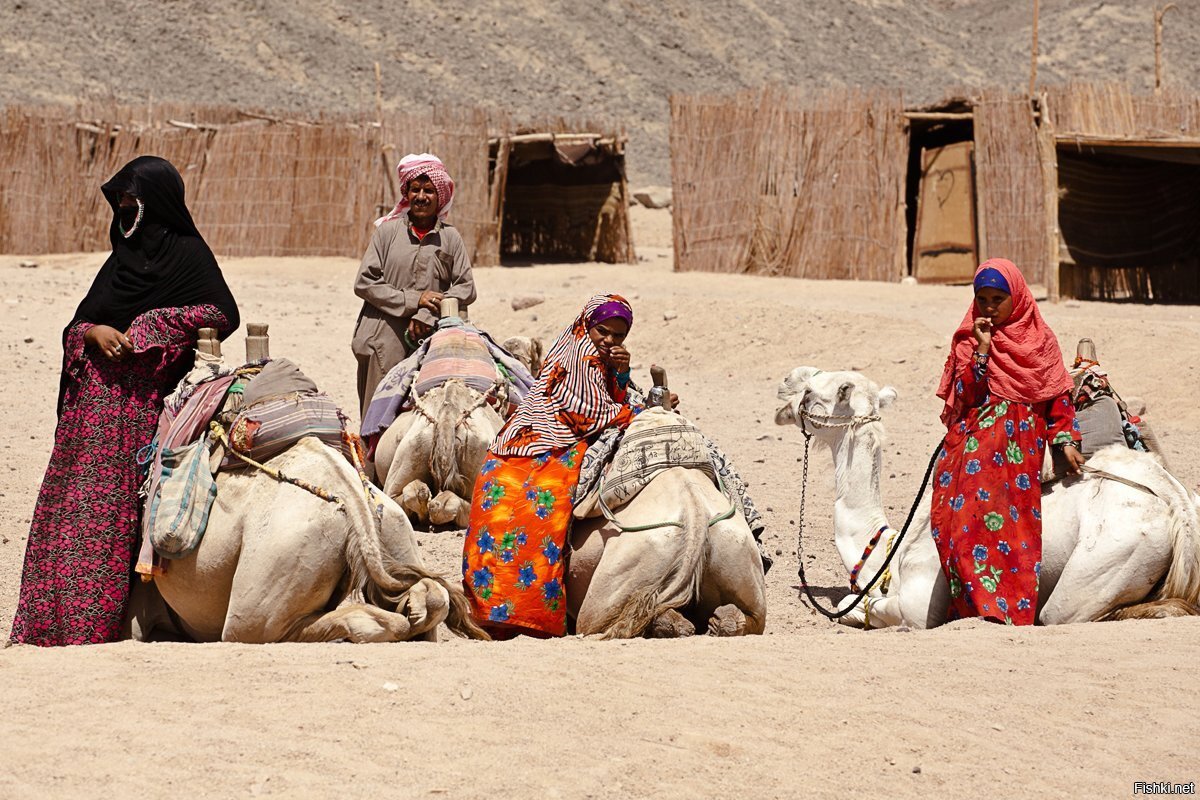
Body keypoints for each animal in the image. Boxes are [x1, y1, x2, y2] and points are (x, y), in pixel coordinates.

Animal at [772, 367, 1195, 628]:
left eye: (811, 392)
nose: (783, 386)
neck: (891, 546)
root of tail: (1178, 507)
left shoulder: (919, 603)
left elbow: (854, 607)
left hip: (1114, 555)